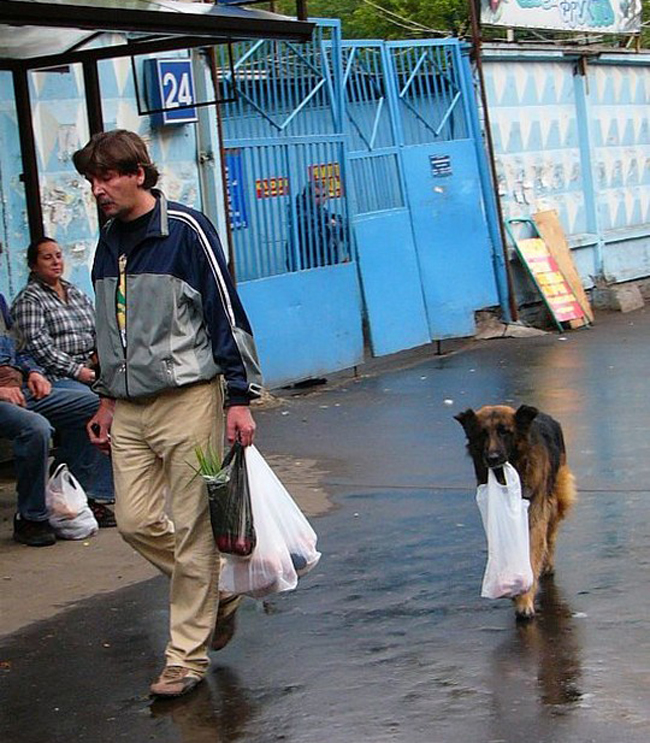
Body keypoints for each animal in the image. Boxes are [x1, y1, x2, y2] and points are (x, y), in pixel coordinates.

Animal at [454, 404, 576, 620]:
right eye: (482, 434)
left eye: (505, 432)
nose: (492, 458)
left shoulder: (534, 516)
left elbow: (532, 553)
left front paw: (525, 600)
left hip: (557, 499)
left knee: (551, 534)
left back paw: (548, 564)